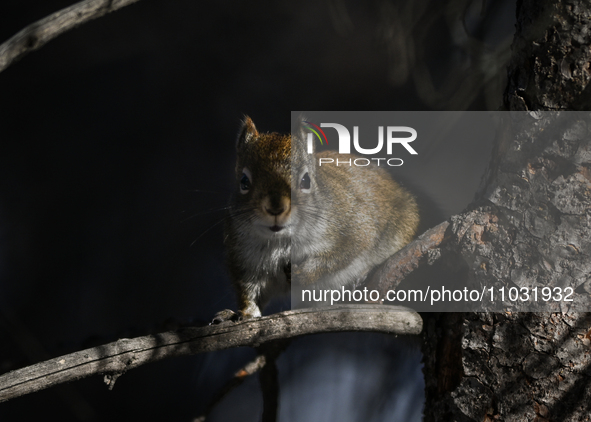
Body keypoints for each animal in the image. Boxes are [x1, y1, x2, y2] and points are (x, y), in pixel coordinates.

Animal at [214, 117, 420, 322]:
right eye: (244, 181)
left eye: (306, 181)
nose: (276, 208)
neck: (281, 241)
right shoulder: (243, 257)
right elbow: (248, 290)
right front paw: (245, 312)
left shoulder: (354, 228)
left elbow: (341, 255)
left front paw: (302, 273)